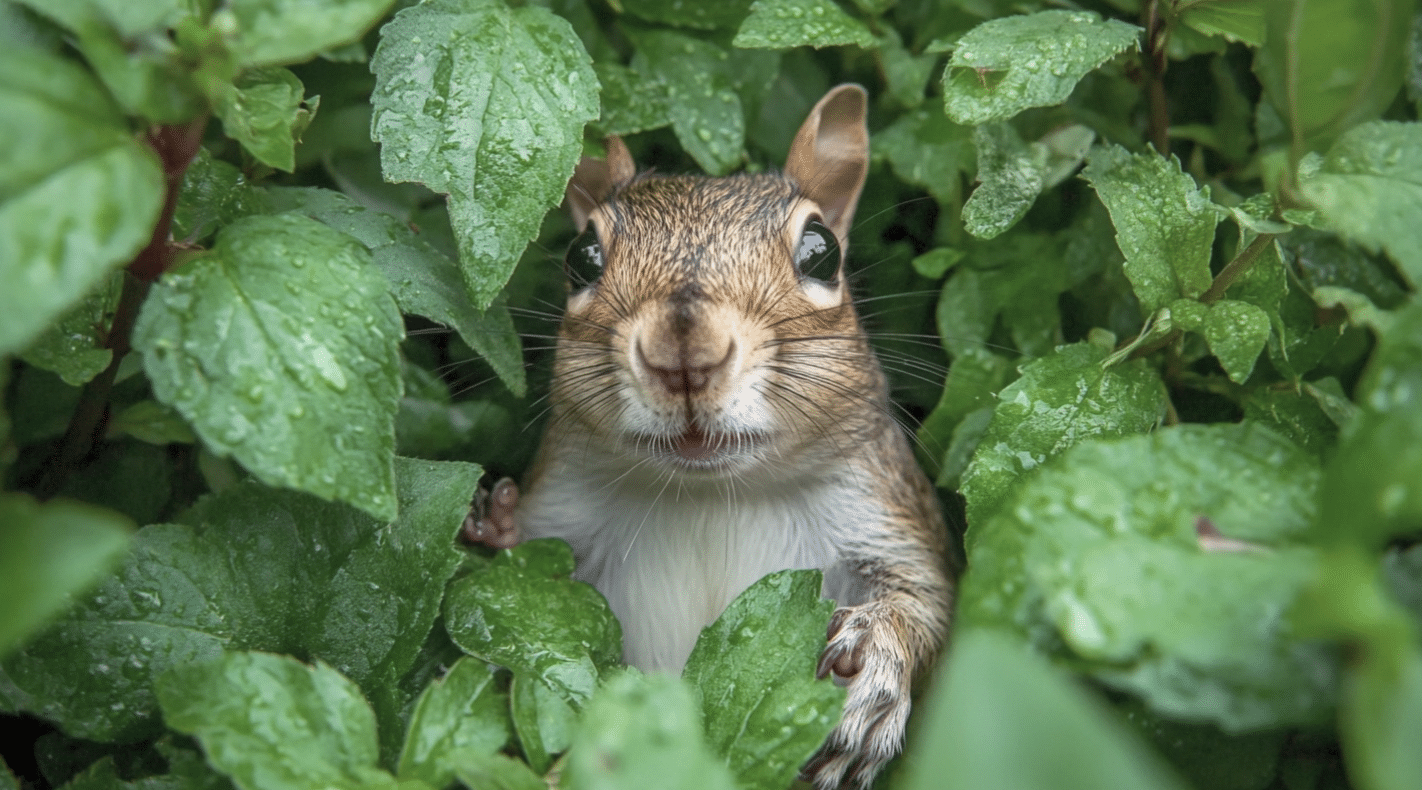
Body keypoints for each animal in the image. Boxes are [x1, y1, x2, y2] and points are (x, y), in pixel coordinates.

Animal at [465, 84, 953, 789]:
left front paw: (877, 665)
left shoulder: (885, 509)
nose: (683, 353)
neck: (710, 495)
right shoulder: (564, 510)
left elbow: (929, 605)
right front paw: (497, 522)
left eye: (822, 252)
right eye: (582, 258)